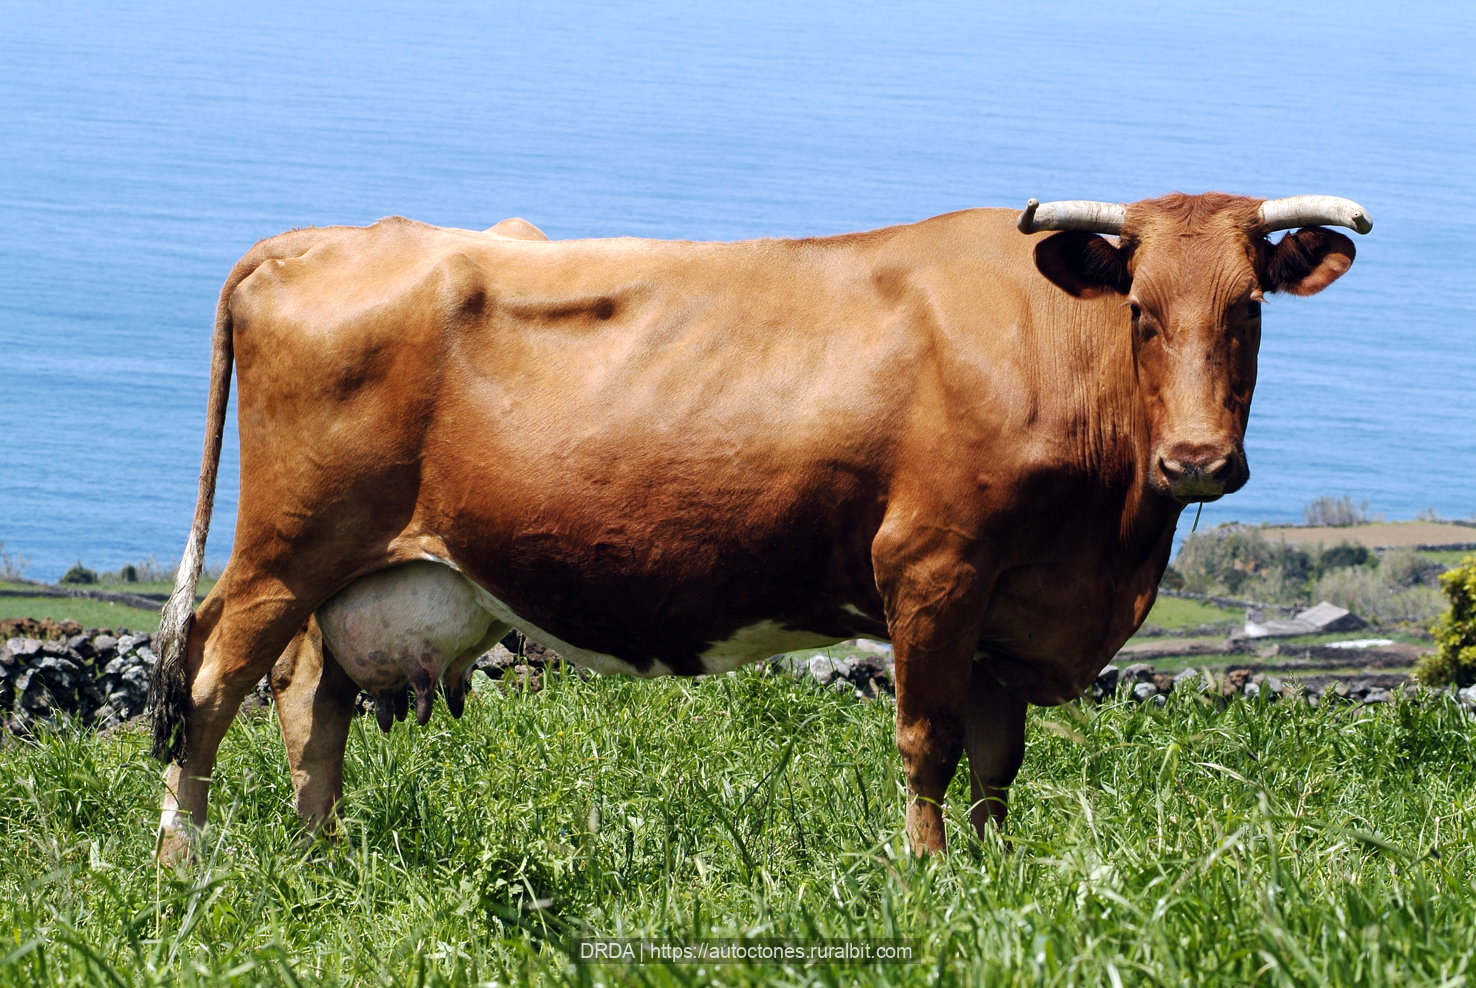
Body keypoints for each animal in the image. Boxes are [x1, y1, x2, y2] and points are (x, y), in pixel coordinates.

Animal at [149, 192, 1370, 861]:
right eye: (1143, 312)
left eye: (1248, 309)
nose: (1198, 460)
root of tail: (324, 237)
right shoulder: (934, 568)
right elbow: (927, 741)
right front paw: (929, 879)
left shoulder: (1007, 605)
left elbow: (997, 759)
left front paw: (994, 875)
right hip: (285, 547)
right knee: (208, 681)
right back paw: (183, 867)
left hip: (347, 570)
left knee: (311, 700)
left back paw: (318, 860)